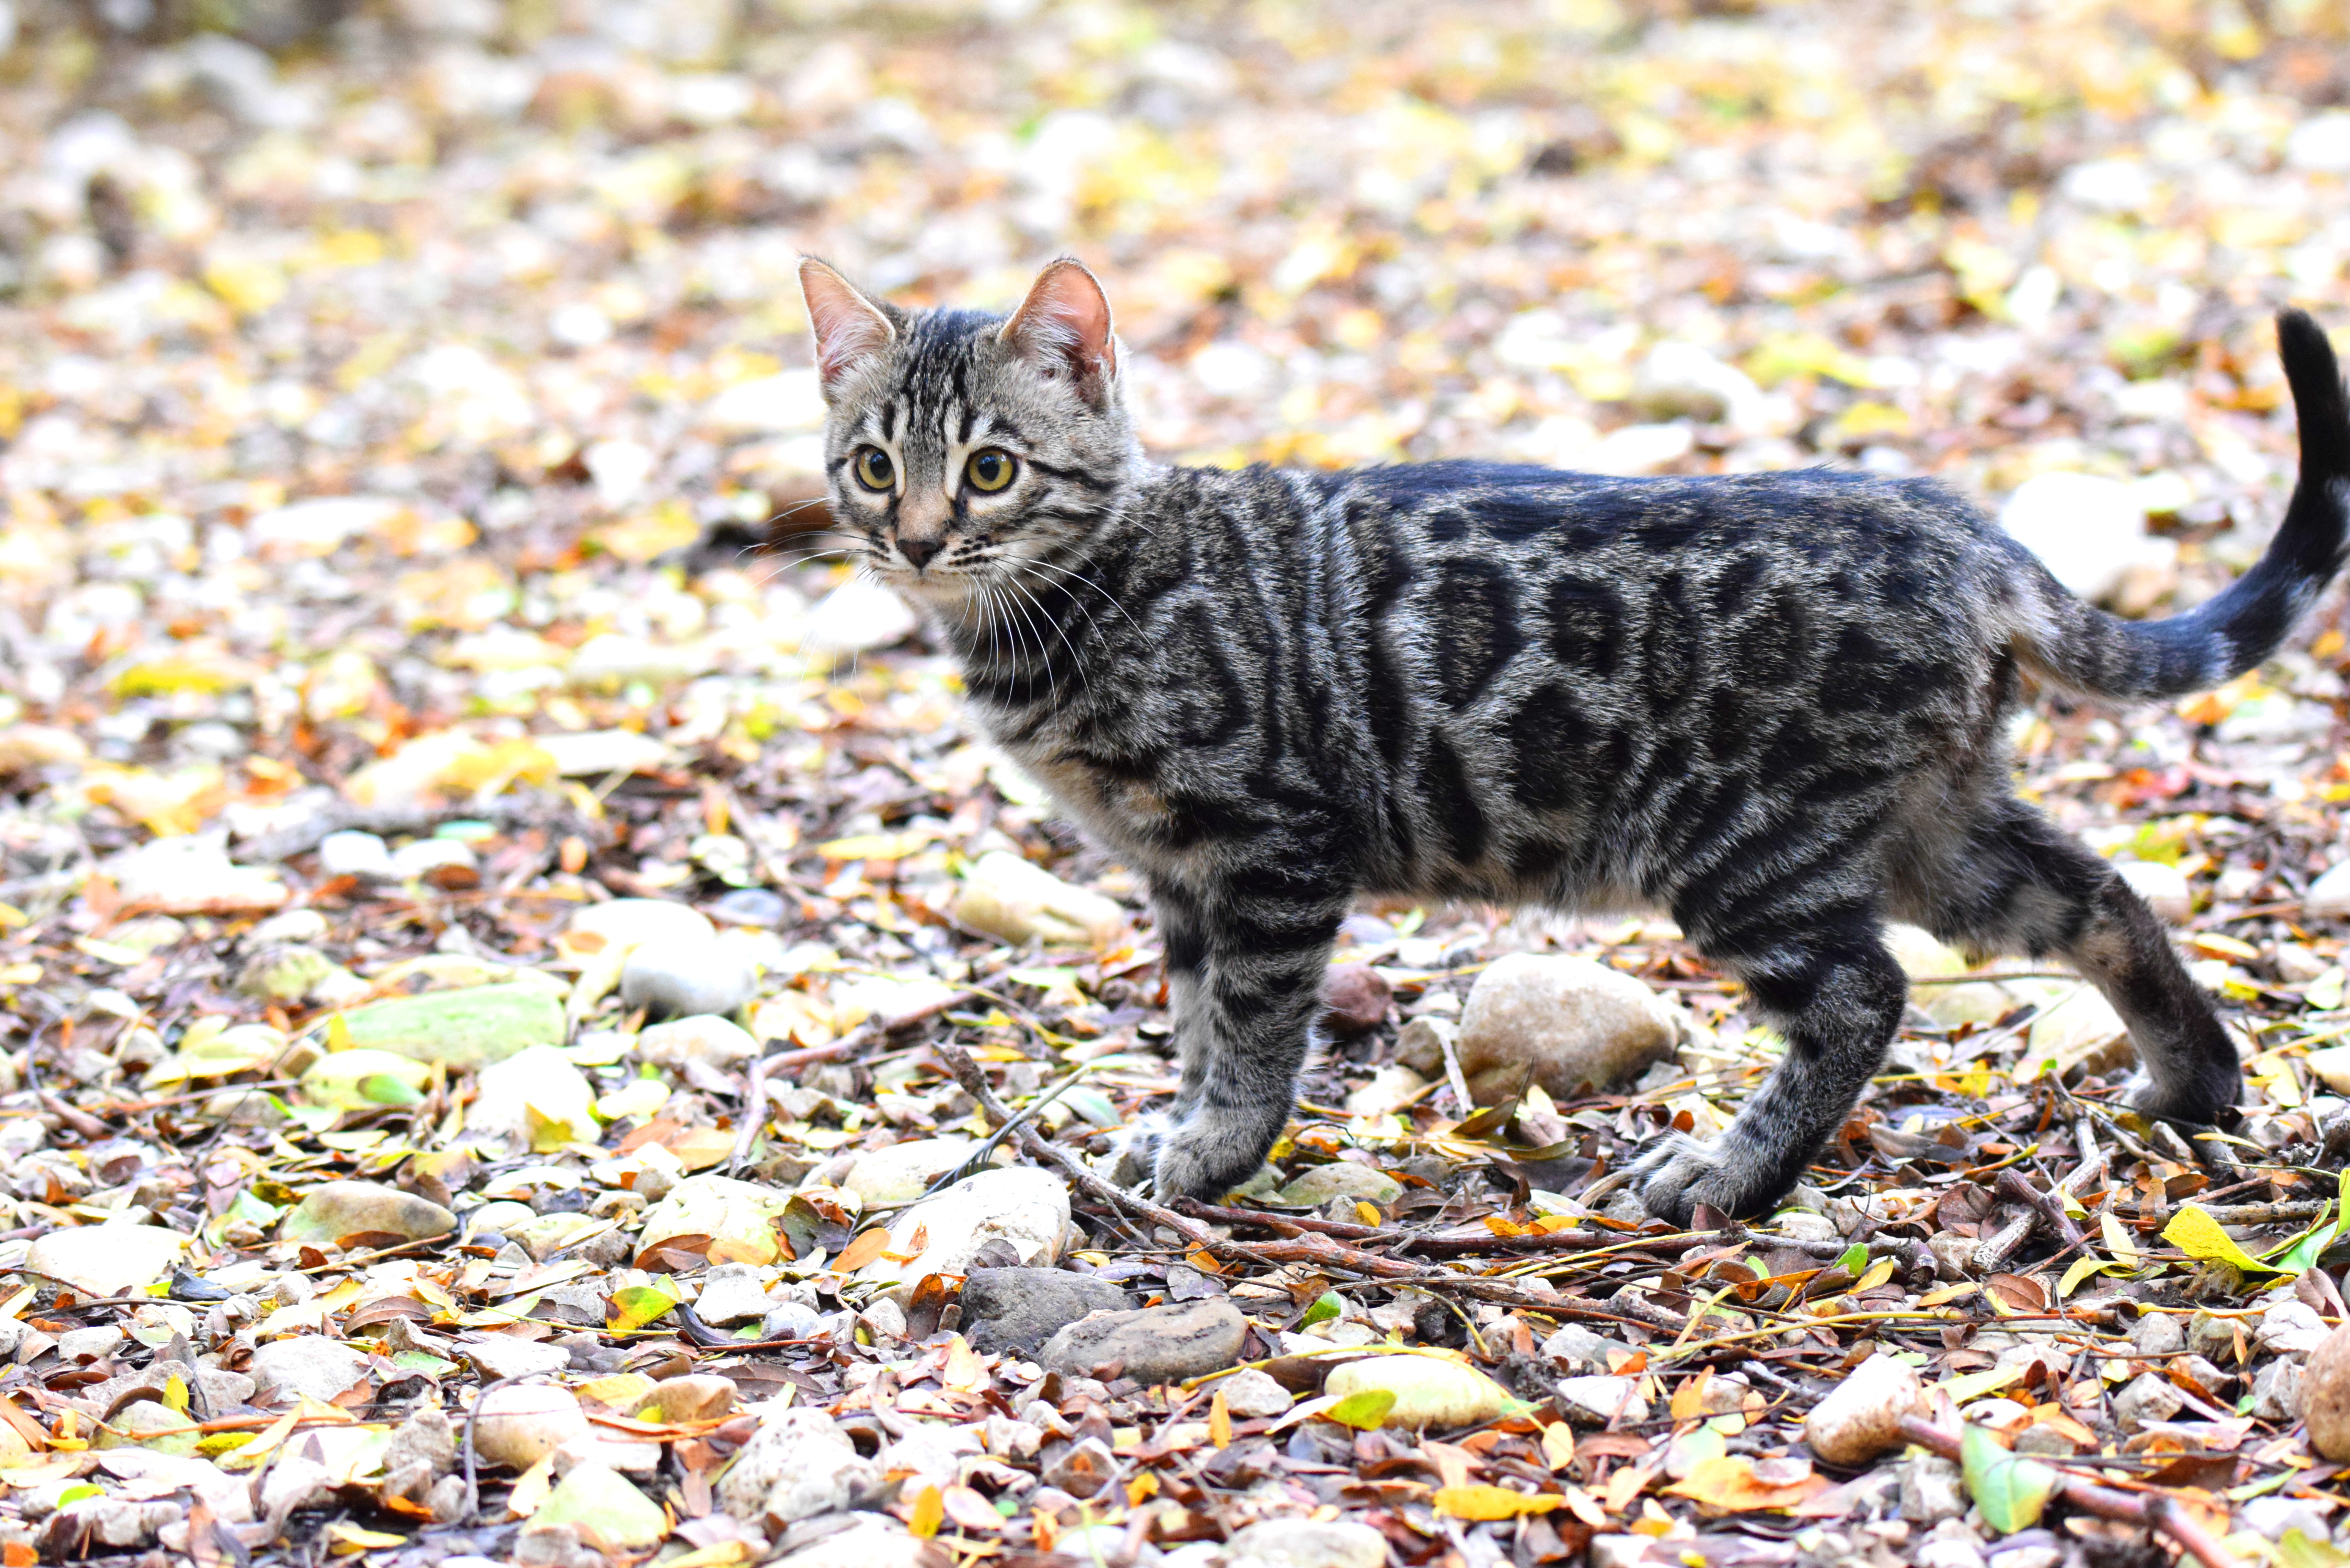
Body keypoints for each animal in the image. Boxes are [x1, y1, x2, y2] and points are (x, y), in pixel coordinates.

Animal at [794, 251, 2350, 1222]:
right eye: (873, 465)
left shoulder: (1269, 847)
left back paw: (1728, 1180)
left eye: (992, 469)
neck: (1072, 602)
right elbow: (1188, 1013)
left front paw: (1220, 1149)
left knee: (1866, 993)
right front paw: (1175, 1124)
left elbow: (1249, 1022)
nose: (915, 537)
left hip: (1745, 849)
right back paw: (2196, 1082)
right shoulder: (1177, 874)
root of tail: (1956, 527)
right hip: (1933, 823)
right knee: (2094, 894)